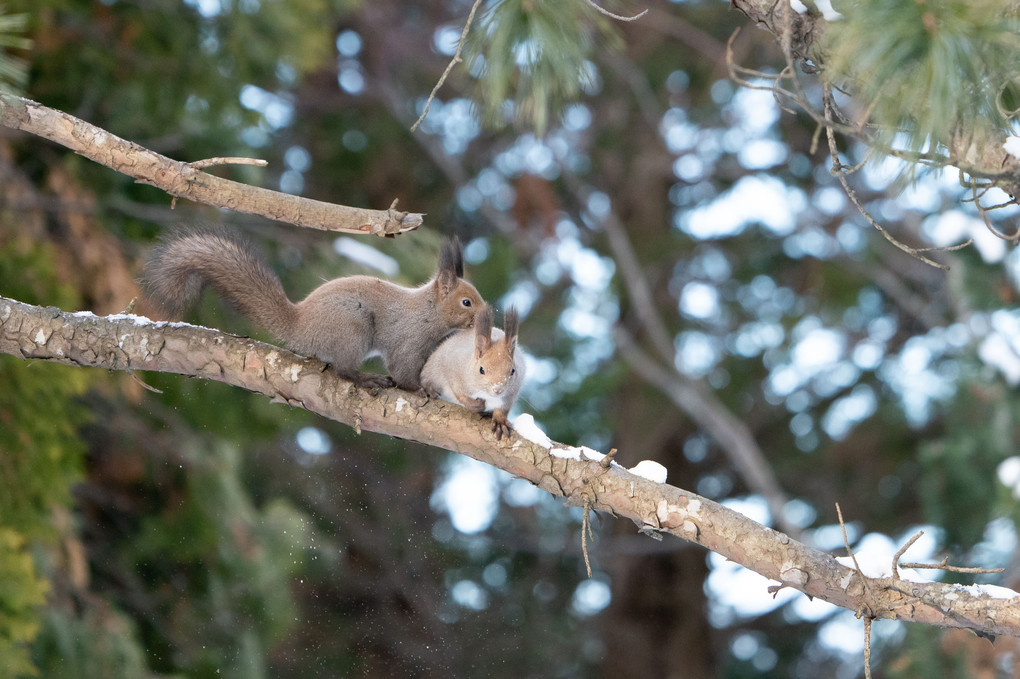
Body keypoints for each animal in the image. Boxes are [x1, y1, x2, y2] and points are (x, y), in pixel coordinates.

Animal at [139, 230, 485, 389]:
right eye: (466, 301)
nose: (485, 316)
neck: (429, 310)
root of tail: (299, 326)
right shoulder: (407, 339)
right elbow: (402, 370)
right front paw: (419, 390)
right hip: (352, 328)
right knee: (343, 370)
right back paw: (365, 379)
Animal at [420, 301, 526, 438]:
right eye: (481, 370)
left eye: (513, 371)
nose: (498, 390)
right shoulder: (454, 368)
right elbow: (459, 394)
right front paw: (475, 405)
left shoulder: (512, 392)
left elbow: (503, 408)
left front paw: (500, 421)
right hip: (432, 368)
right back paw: (428, 389)